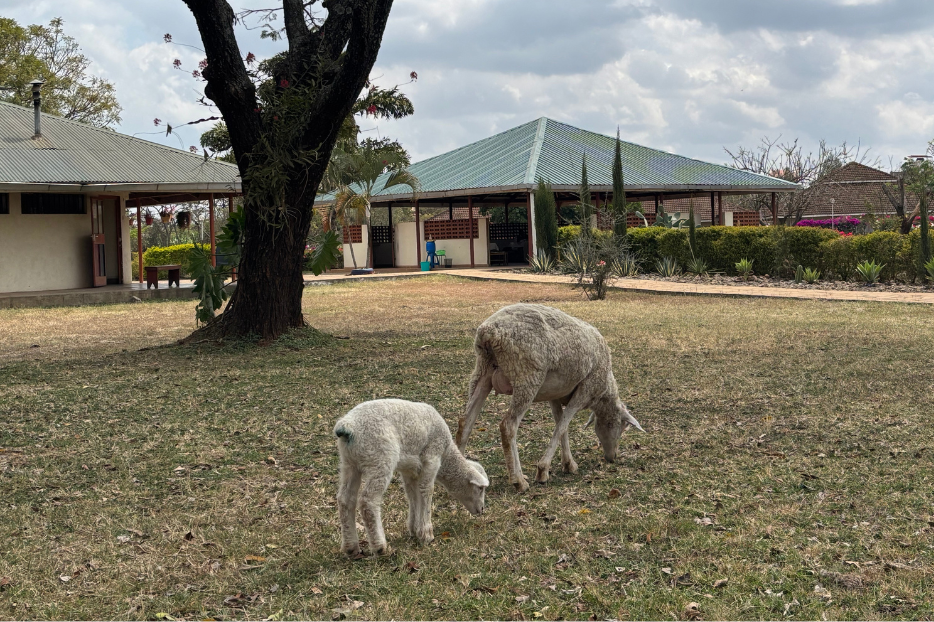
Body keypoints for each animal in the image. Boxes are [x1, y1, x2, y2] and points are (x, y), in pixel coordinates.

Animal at [334, 399, 489, 556]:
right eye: (480, 489)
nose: (482, 510)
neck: (446, 454)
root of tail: (347, 426)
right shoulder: (432, 457)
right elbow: (427, 491)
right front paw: (426, 534)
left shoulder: (409, 469)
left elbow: (412, 495)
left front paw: (415, 530)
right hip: (380, 458)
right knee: (368, 501)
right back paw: (380, 546)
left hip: (349, 463)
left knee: (345, 500)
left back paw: (351, 547)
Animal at [456, 303, 643, 492]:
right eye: (619, 426)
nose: (612, 457)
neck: (603, 393)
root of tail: (488, 331)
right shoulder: (584, 391)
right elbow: (562, 426)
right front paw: (543, 470)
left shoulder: (555, 394)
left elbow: (561, 424)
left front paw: (568, 464)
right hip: (527, 377)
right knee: (508, 426)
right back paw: (519, 481)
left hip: (482, 372)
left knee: (465, 422)